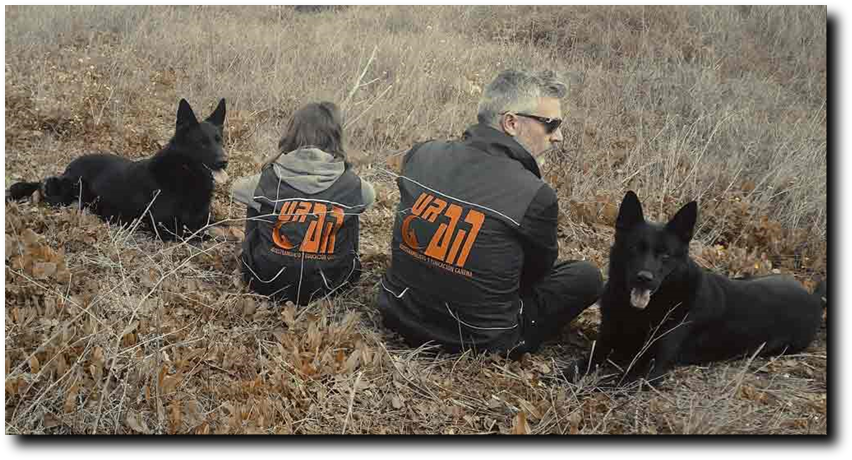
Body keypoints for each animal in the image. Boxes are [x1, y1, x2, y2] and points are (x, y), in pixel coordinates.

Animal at [7, 98, 229, 241]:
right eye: (201, 143)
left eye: (219, 140)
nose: (224, 161)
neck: (183, 173)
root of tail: (68, 168)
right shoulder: (166, 228)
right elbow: (206, 235)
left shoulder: (203, 219)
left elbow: (221, 227)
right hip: (72, 189)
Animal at [564, 190, 824, 387]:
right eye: (634, 248)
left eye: (665, 255)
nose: (644, 279)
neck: (643, 312)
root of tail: (814, 299)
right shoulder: (605, 343)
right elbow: (580, 365)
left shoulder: (650, 368)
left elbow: (611, 383)